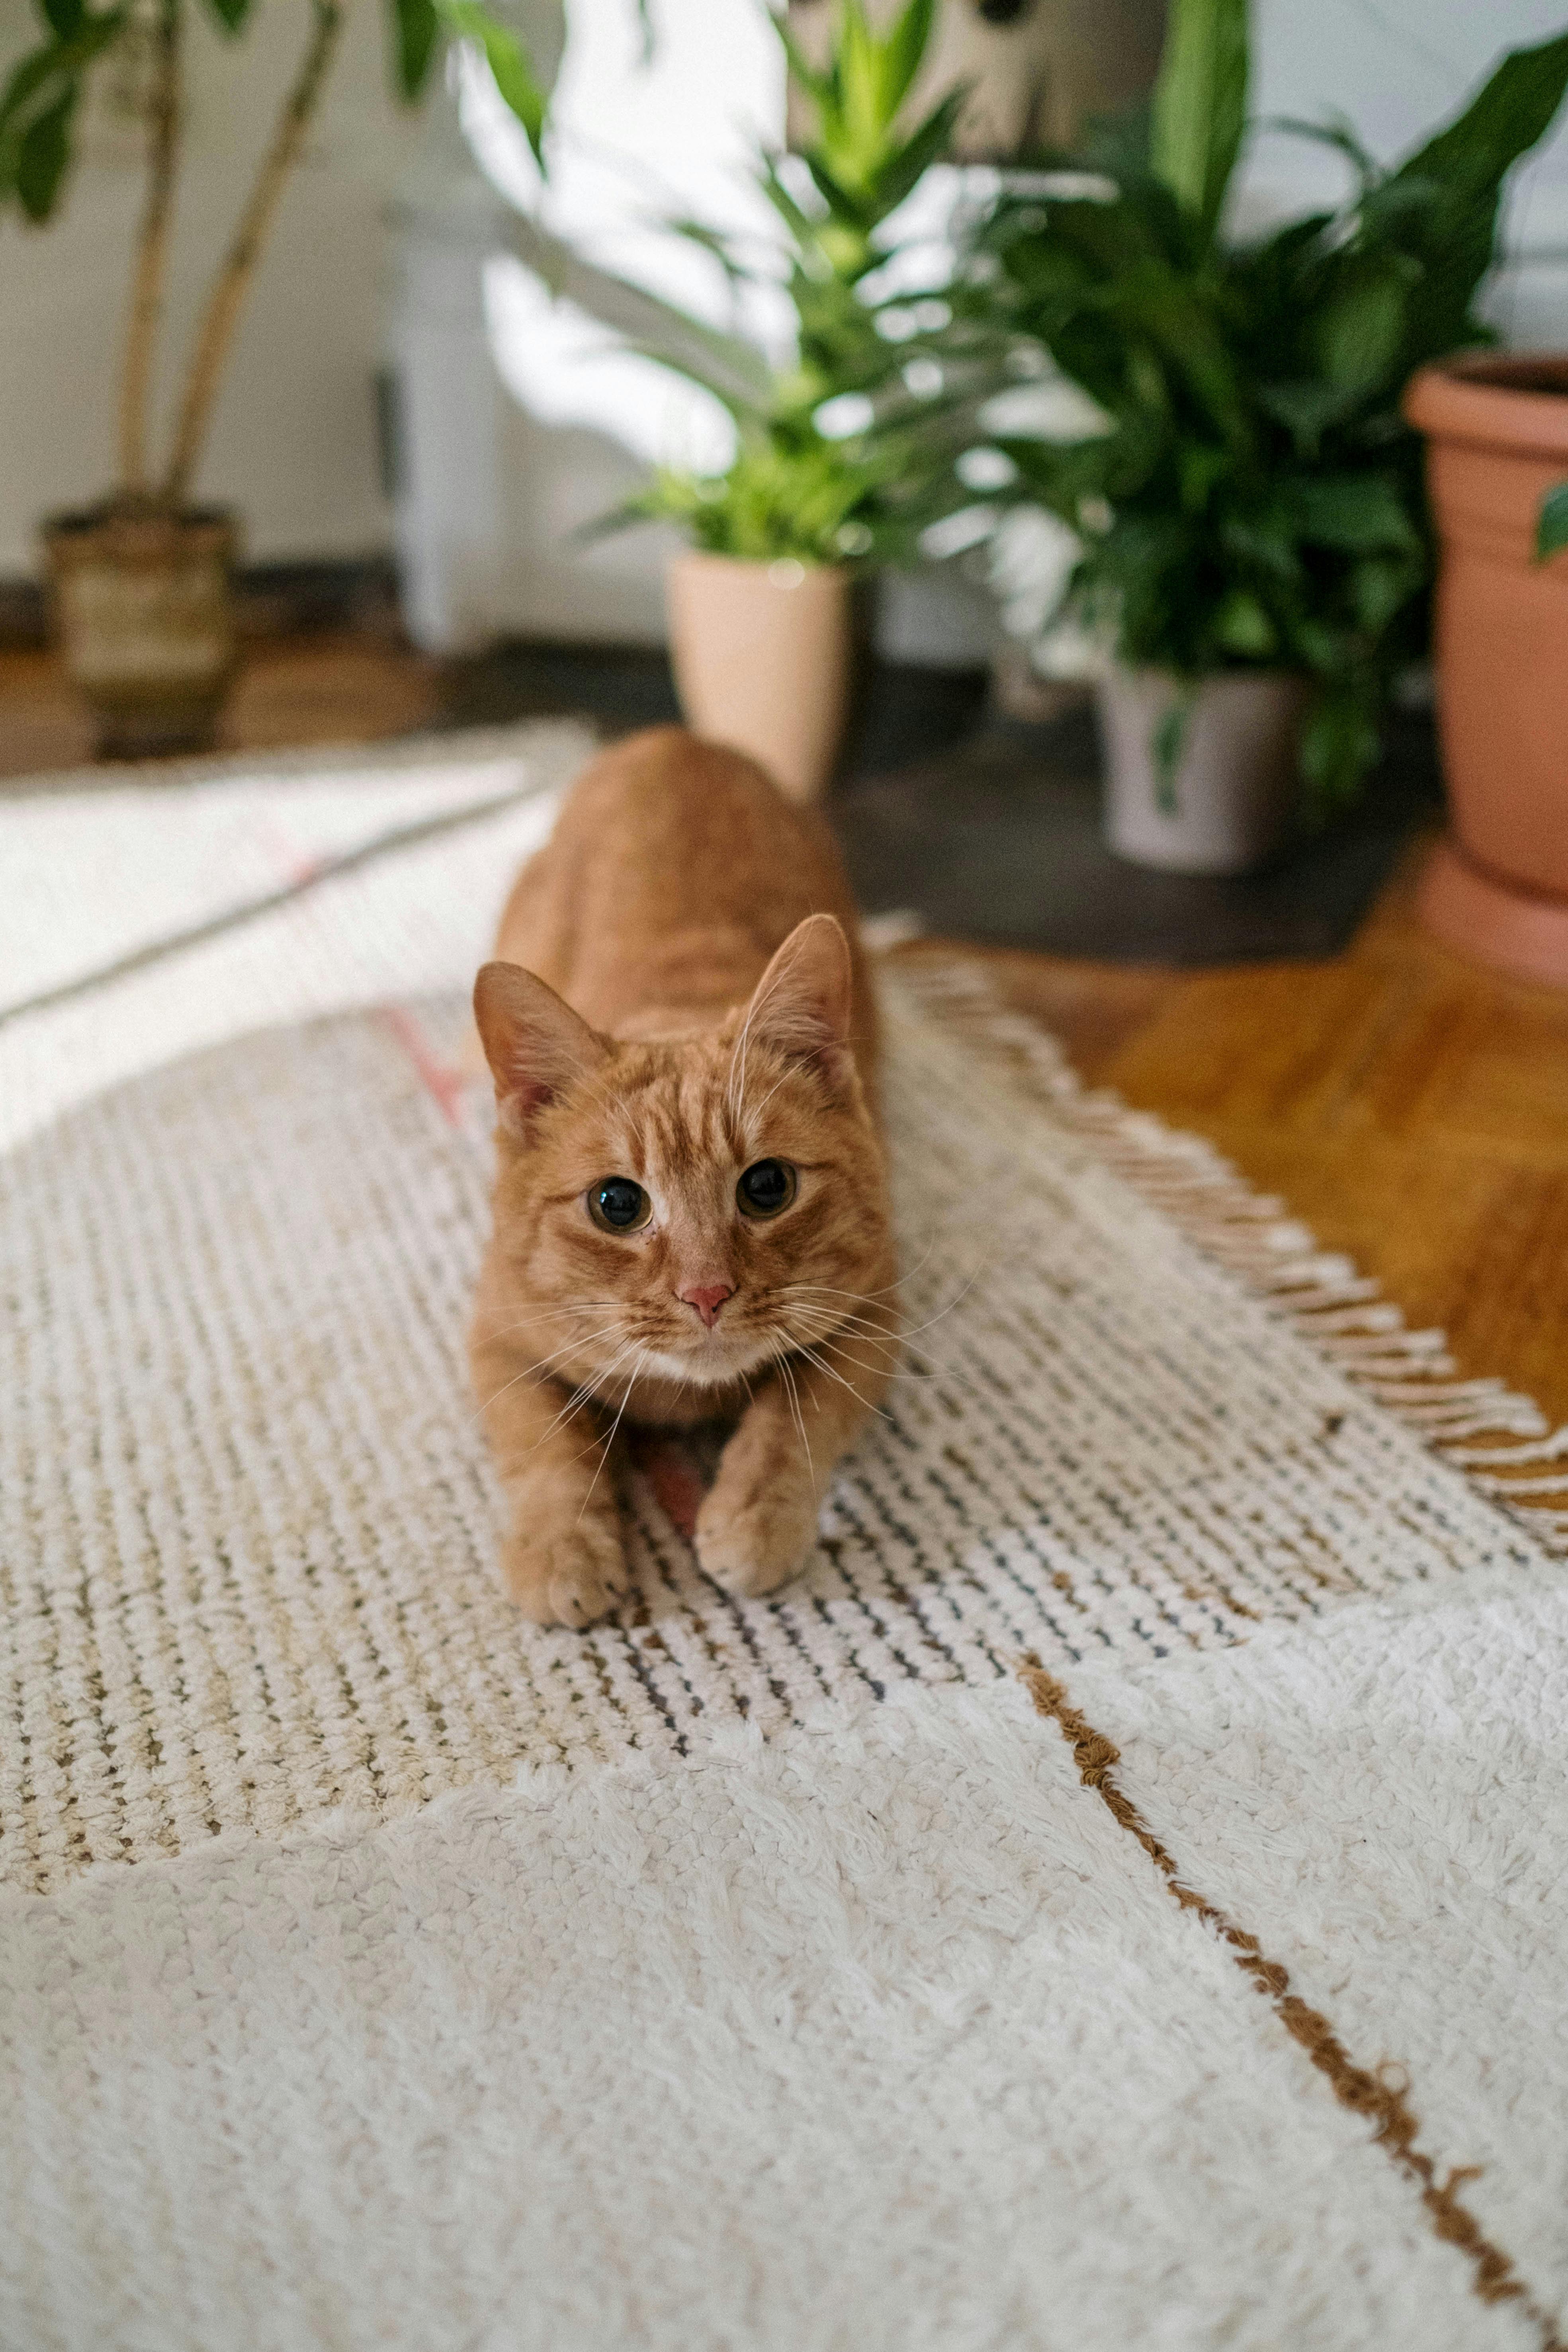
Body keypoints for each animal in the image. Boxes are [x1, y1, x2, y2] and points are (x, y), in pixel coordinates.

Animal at [470, 724, 893, 1627]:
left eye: (767, 1187)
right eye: (616, 1203)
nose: (706, 1293)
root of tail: (674, 738)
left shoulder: (872, 1314)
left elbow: (793, 1419)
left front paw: (752, 1521)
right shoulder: (497, 1343)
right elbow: (547, 1452)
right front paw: (562, 1548)